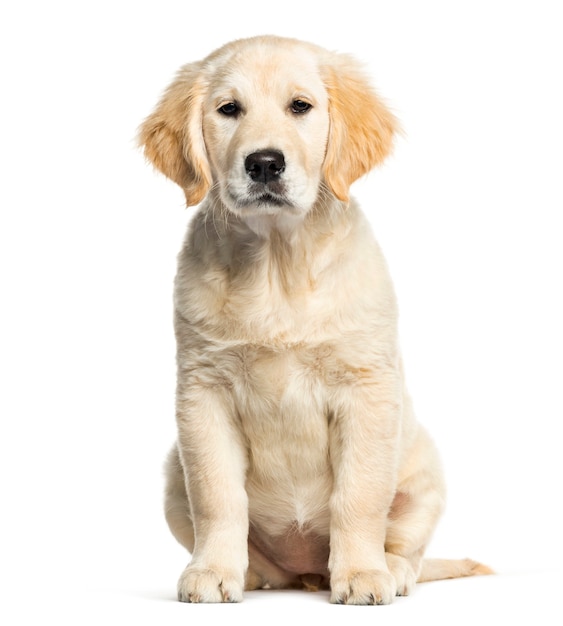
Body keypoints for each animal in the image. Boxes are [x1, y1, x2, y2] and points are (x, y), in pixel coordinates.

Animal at [139, 35, 492, 604]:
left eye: (300, 106)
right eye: (228, 109)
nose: (264, 163)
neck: (276, 264)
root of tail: (306, 573)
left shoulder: (365, 388)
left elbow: (359, 495)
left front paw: (363, 574)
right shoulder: (202, 391)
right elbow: (217, 495)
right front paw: (213, 572)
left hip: (425, 474)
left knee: (408, 548)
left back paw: (389, 570)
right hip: (174, 470)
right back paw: (251, 573)